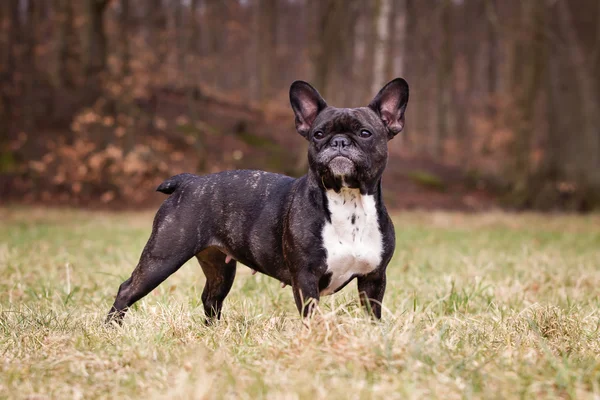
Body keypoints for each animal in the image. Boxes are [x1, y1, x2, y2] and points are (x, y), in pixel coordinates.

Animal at [106, 76, 408, 324]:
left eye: (365, 133)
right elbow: (311, 316)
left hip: (219, 268)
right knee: (127, 290)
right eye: (318, 134)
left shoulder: (373, 279)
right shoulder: (306, 279)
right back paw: (112, 328)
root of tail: (190, 181)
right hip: (162, 257)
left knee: (211, 298)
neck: (348, 201)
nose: (340, 142)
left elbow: (372, 315)